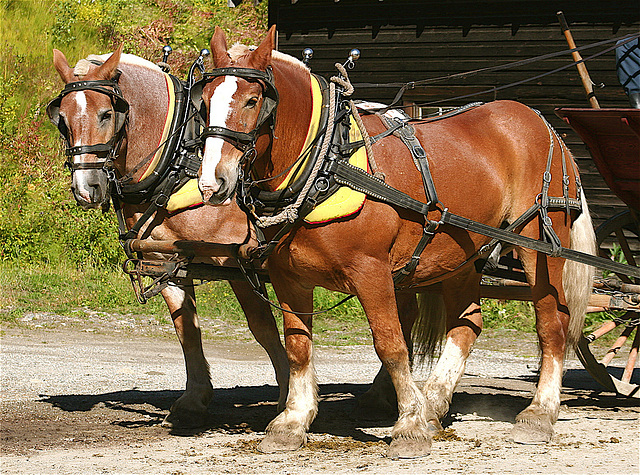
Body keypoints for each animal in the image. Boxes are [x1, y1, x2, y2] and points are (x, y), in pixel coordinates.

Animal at [49, 46, 290, 430]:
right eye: (62, 120)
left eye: (106, 114)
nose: (87, 189)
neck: (179, 160)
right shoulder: (166, 258)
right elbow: (185, 329)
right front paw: (194, 400)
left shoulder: (238, 262)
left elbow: (262, 326)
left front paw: (286, 397)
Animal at [198, 27, 596, 462]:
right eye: (205, 101)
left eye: (253, 100)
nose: (213, 182)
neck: (328, 166)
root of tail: (546, 127)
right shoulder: (289, 277)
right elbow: (298, 346)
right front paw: (292, 421)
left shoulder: (371, 271)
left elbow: (391, 344)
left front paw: (408, 426)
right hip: (462, 256)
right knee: (468, 322)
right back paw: (434, 403)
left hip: (537, 247)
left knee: (552, 324)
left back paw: (539, 414)